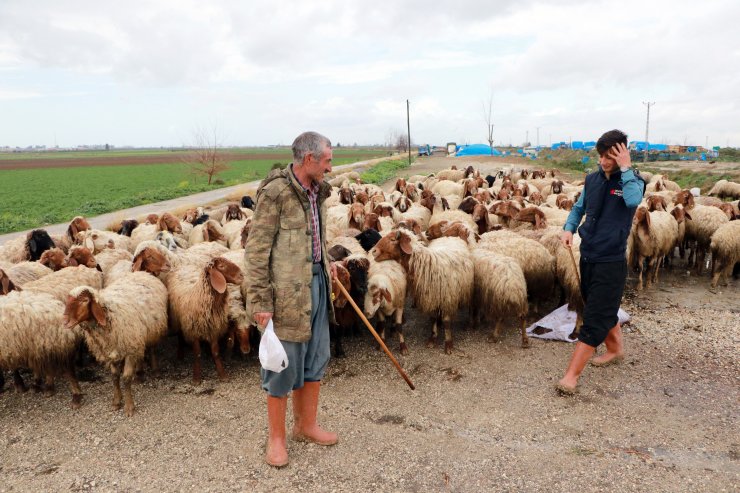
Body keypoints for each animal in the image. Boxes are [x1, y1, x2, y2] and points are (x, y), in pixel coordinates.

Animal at [62, 270, 168, 418]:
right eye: (67, 301)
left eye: (84, 301)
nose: (65, 322)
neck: (108, 314)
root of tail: (142, 272)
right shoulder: (109, 350)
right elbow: (115, 376)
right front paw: (117, 402)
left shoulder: (129, 349)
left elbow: (126, 378)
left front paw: (129, 407)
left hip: (152, 329)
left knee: (152, 348)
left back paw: (155, 369)